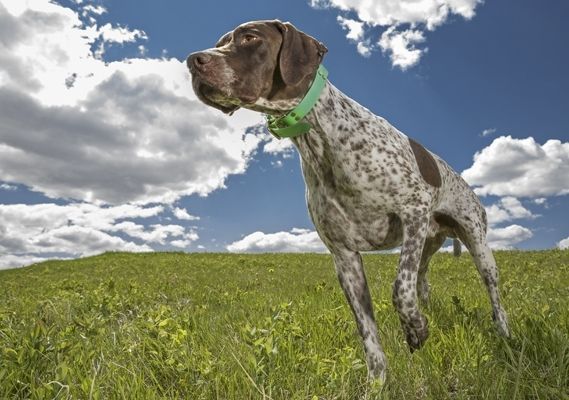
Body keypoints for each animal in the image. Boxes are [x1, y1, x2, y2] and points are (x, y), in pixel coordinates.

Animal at [187, 19, 510, 382]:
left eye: (250, 38)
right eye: (221, 42)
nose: (193, 61)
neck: (321, 138)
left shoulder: (413, 210)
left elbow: (399, 288)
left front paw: (415, 329)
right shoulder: (344, 256)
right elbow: (367, 332)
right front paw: (377, 382)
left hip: (475, 243)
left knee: (490, 292)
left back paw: (503, 333)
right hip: (426, 244)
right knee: (422, 280)